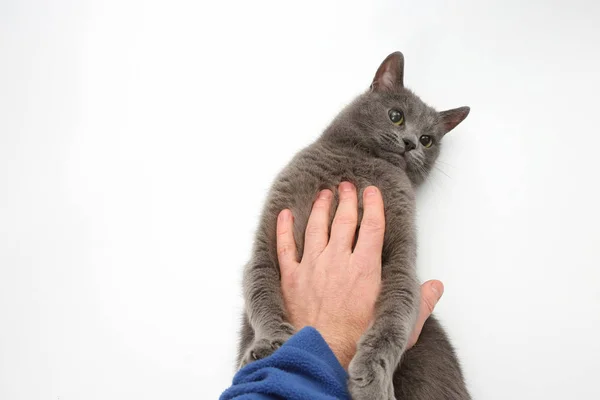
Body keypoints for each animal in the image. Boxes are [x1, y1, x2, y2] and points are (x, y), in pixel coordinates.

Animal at [237, 51, 472, 398]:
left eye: (428, 140)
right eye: (396, 116)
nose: (411, 143)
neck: (362, 162)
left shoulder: (401, 258)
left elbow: (394, 318)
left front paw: (372, 380)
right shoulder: (271, 233)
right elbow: (261, 288)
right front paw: (272, 345)